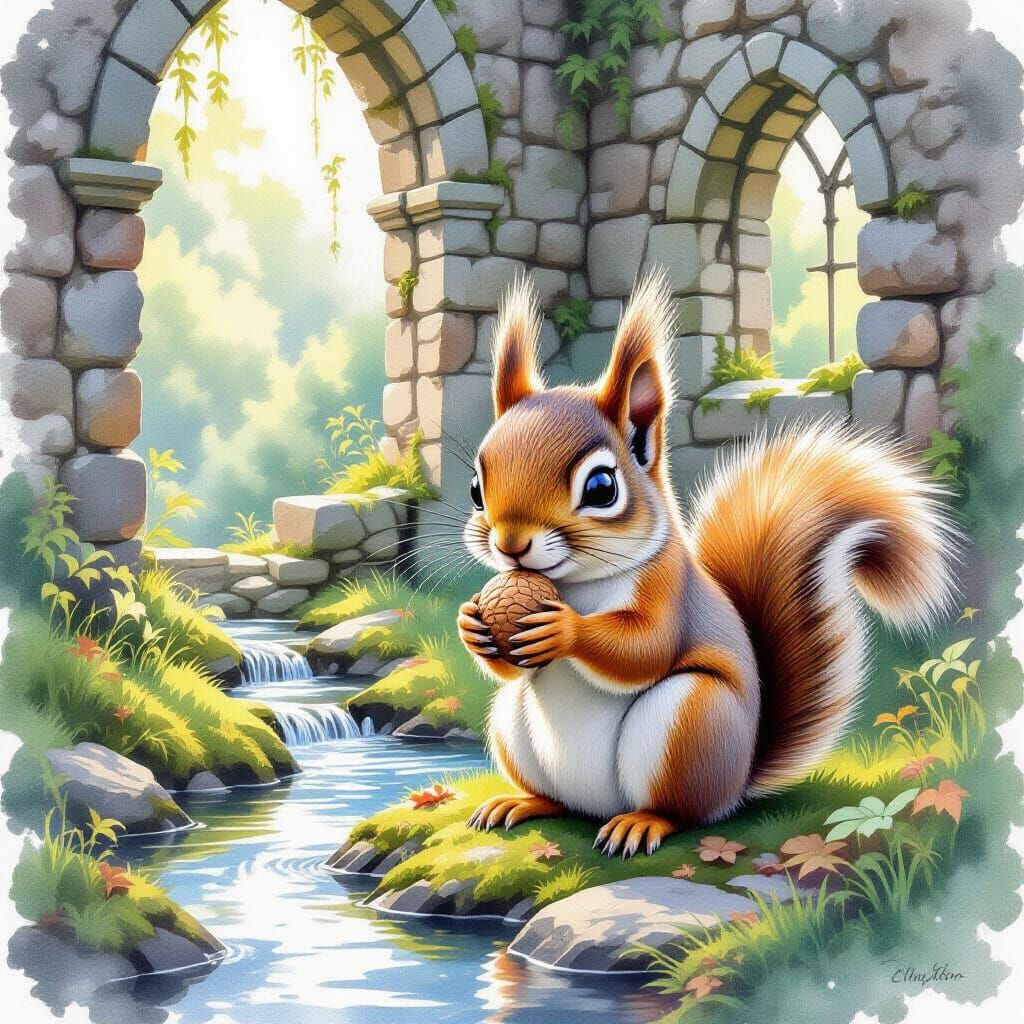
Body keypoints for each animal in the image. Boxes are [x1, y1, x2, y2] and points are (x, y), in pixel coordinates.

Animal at [456, 273, 958, 858]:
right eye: (475, 487)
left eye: (602, 488)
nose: (510, 544)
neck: (574, 582)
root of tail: (738, 782)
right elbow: (509, 667)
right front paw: (472, 624)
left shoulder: (668, 586)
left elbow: (644, 647)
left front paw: (565, 629)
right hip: (511, 723)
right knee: (555, 794)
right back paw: (521, 803)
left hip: (690, 720)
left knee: (684, 810)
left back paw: (641, 823)